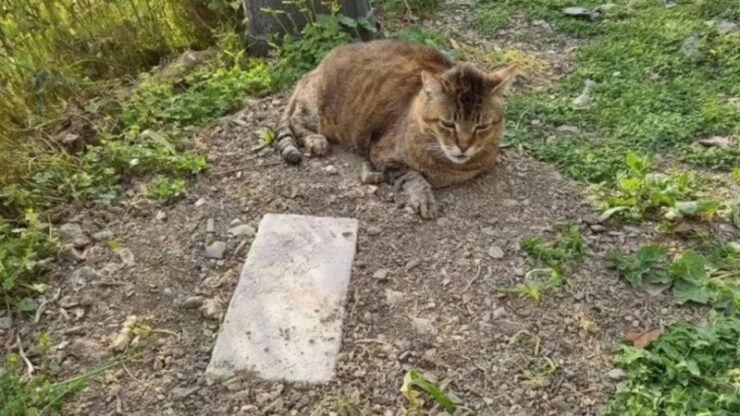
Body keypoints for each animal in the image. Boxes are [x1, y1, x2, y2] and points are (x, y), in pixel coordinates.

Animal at [274, 40, 516, 219]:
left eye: (481, 126)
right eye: (448, 124)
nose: (464, 146)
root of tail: (313, 70)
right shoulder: (383, 155)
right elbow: (413, 175)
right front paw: (424, 198)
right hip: (317, 111)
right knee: (296, 120)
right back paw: (315, 140)